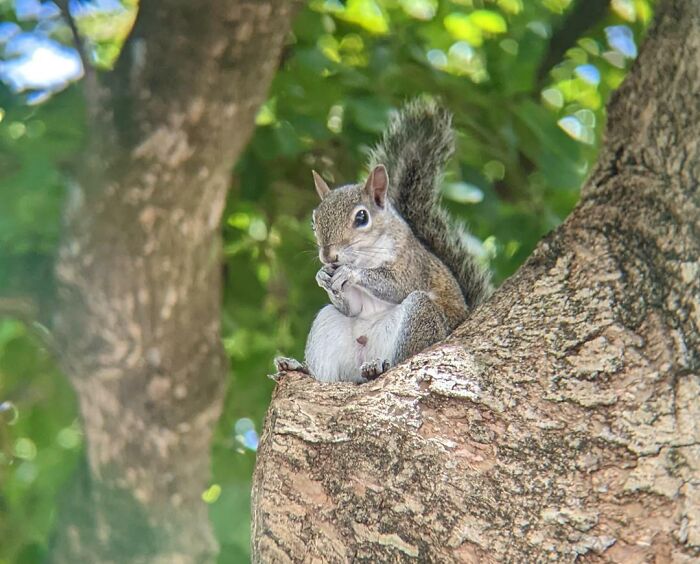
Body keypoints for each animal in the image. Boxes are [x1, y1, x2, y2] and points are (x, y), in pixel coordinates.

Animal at [275, 100, 491, 383]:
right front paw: (322, 276)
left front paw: (351, 273)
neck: (365, 254)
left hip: (422, 316)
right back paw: (300, 368)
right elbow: (352, 307)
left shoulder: (411, 264)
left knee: (404, 357)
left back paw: (380, 366)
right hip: (327, 324)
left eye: (362, 217)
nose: (328, 257)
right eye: (314, 221)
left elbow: (397, 285)